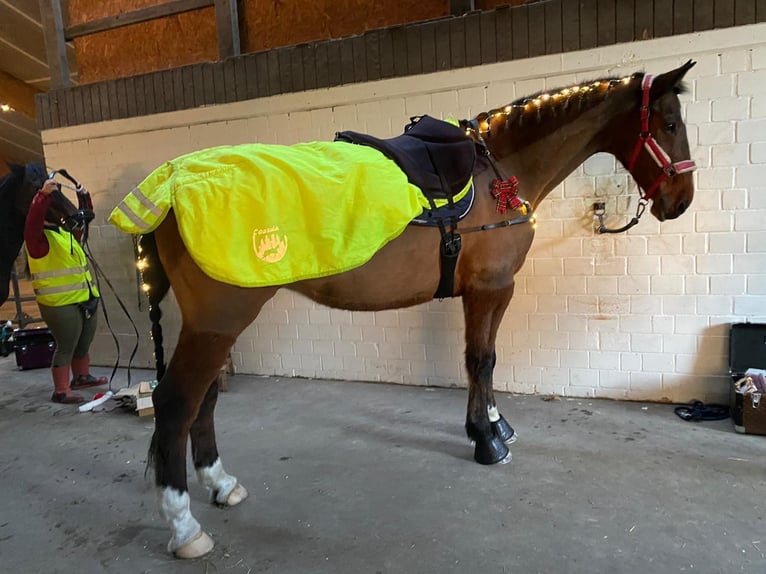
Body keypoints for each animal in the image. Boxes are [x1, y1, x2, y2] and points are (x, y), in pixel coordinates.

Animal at [135, 62, 700, 560]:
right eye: (670, 124)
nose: (682, 201)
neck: (500, 170)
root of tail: (172, 185)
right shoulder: (491, 288)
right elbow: (479, 360)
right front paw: (487, 440)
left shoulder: (491, 290)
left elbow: (485, 360)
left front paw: (493, 423)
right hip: (218, 322)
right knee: (175, 403)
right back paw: (185, 528)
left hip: (214, 326)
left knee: (204, 399)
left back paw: (221, 483)